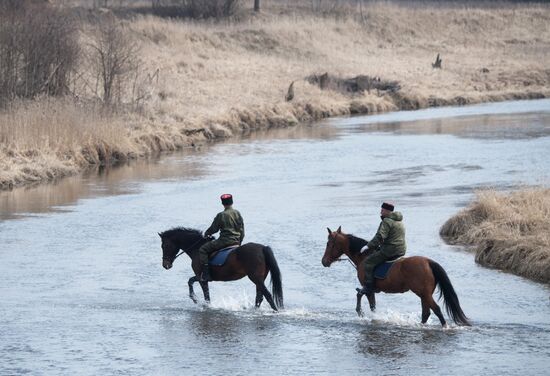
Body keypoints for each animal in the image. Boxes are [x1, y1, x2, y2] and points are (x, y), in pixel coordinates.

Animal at [324, 226, 470, 326]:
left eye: (329, 244)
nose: (323, 261)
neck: (363, 257)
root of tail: (428, 262)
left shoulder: (368, 288)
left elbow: (360, 295)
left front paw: (360, 312)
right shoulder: (372, 291)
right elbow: (372, 306)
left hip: (424, 293)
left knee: (436, 310)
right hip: (424, 294)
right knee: (426, 313)